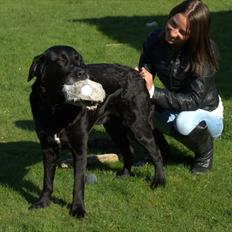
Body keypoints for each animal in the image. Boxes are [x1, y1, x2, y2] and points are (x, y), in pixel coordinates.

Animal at [27, 45, 165, 218]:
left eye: (80, 60)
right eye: (60, 60)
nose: (82, 73)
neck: (56, 108)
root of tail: (137, 74)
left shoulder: (80, 148)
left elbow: (78, 183)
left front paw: (78, 209)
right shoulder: (48, 148)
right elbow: (47, 180)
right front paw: (43, 202)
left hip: (137, 126)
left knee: (156, 152)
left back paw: (159, 181)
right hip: (114, 129)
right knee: (129, 151)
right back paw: (125, 175)